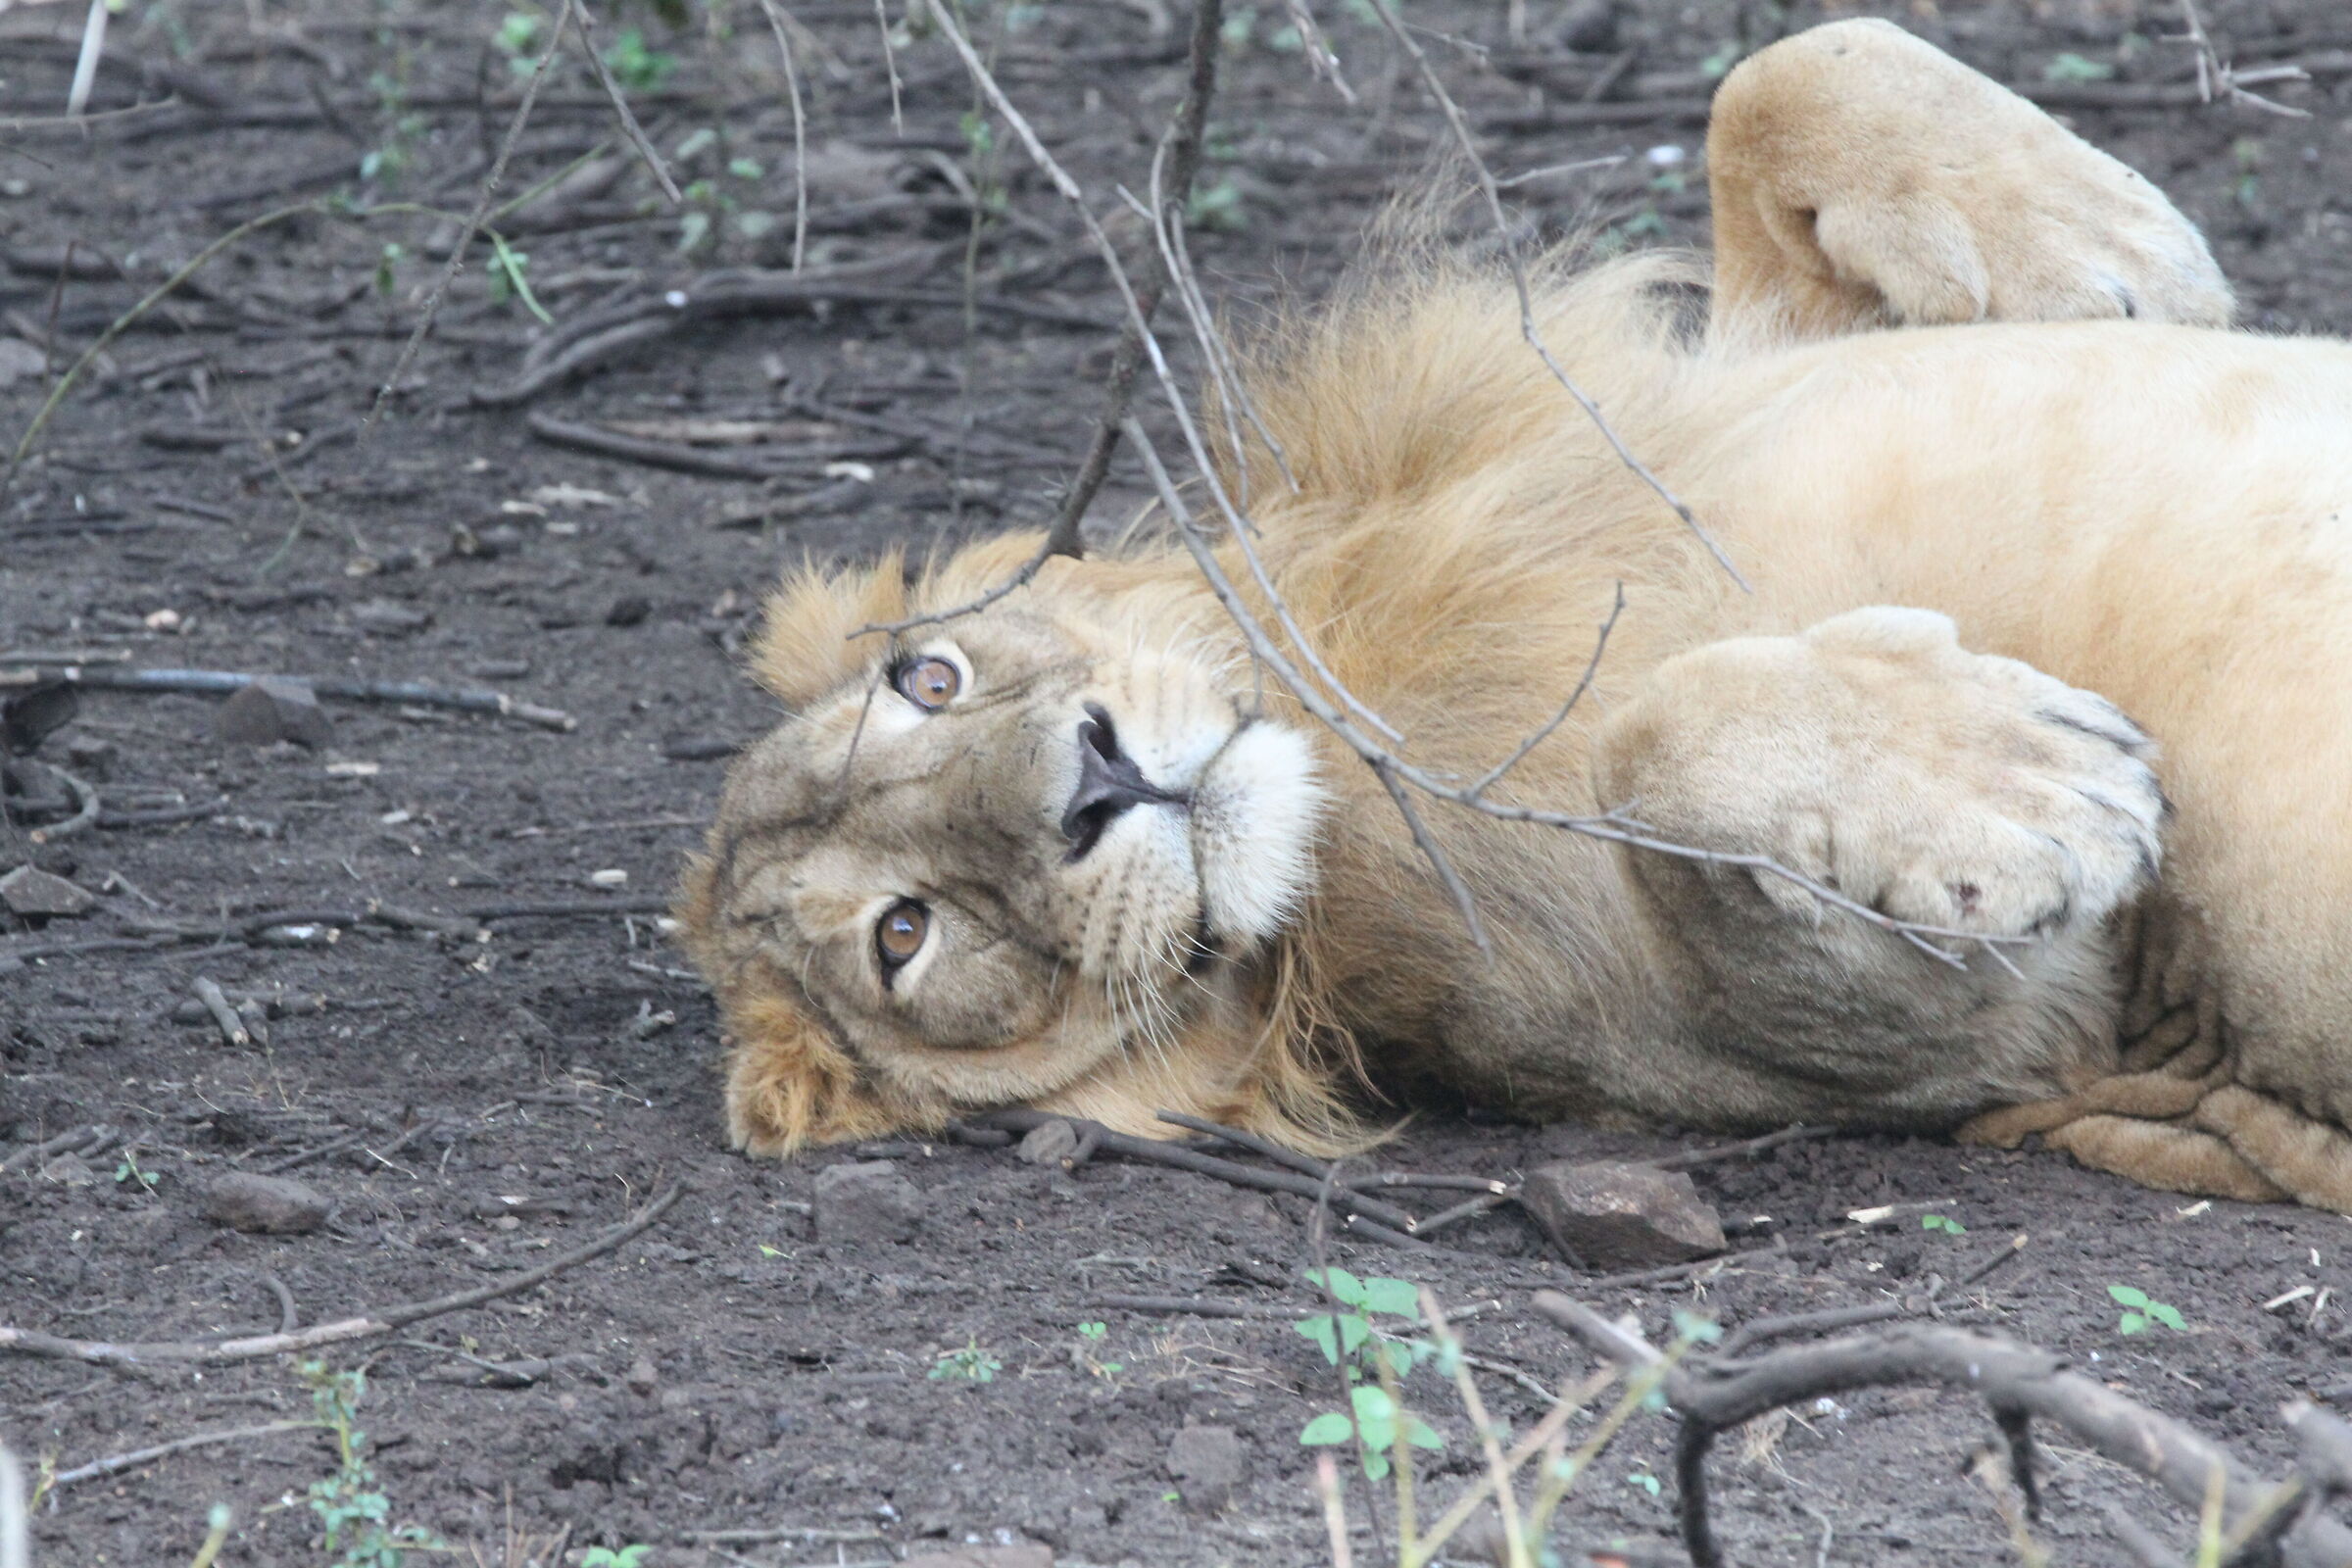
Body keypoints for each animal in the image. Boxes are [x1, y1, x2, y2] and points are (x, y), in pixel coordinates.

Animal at [676, 19, 2352, 1215]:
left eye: (931, 678)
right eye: (906, 936)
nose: (1095, 781)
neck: (1351, 671)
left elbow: (1784, 71)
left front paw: (2123, 257)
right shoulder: (1990, 1035)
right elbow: (1659, 747)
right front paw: (2028, 774)